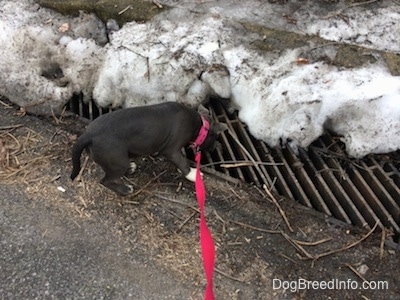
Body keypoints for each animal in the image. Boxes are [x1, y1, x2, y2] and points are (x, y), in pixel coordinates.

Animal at [70, 102, 227, 196]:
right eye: (216, 138)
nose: (218, 146)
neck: (200, 125)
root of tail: (88, 134)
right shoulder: (172, 150)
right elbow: (183, 163)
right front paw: (194, 175)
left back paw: (130, 168)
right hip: (116, 161)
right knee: (105, 181)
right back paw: (125, 189)